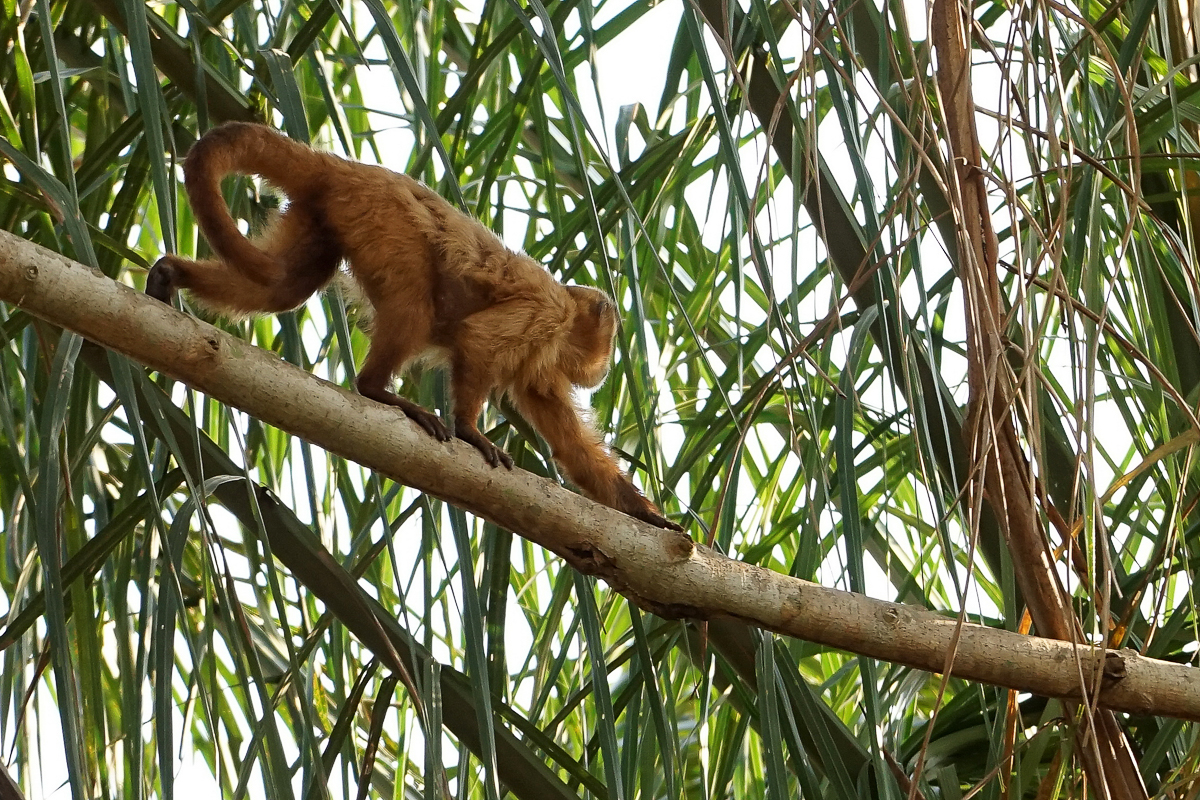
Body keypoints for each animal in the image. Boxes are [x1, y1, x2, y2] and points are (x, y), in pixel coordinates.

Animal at [145, 122, 681, 531]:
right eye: (609, 340)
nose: (606, 367)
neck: (565, 319)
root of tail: (345, 166)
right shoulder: (547, 314)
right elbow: (478, 341)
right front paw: (470, 431)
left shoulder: (543, 367)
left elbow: (572, 447)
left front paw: (648, 516)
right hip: (385, 215)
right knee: (412, 307)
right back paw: (375, 389)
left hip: (328, 212)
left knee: (281, 287)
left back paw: (170, 274)